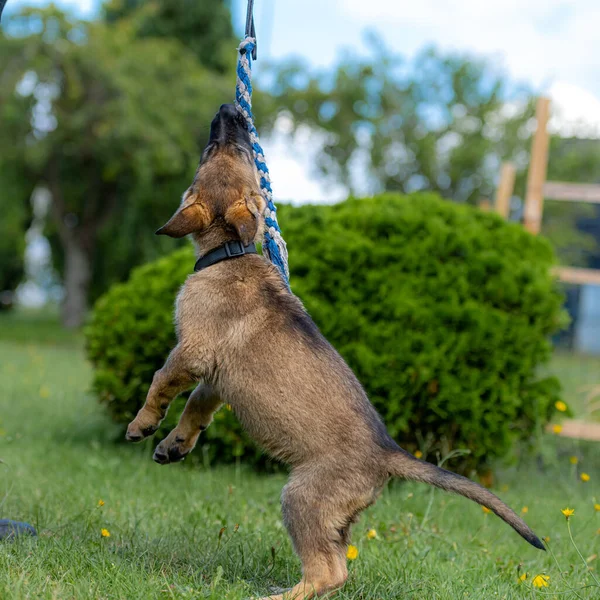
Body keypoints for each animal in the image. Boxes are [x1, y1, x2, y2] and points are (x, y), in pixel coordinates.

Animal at [126, 103, 544, 600]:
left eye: (216, 151)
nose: (230, 109)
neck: (231, 252)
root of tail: (387, 453)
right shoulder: (215, 380)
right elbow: (194, 410)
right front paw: (174, 444)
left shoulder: (191, 353)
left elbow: (161, 383)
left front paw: (142, 424)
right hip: (334, 517)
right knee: (337, 566)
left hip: (302, 497)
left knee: (328, 572)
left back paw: (280, 595)